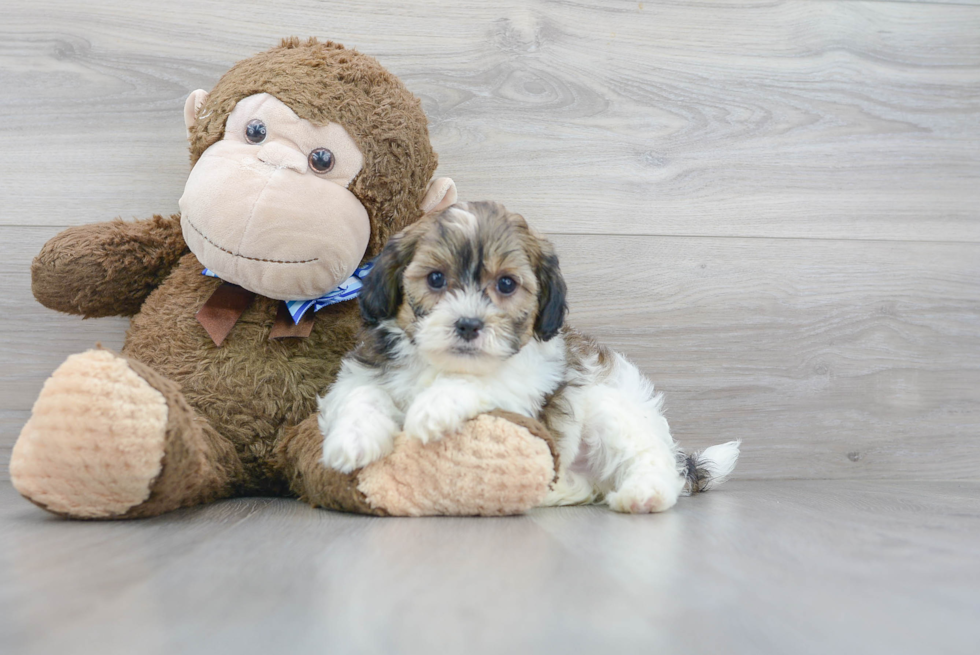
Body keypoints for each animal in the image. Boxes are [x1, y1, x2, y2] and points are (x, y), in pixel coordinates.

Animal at [318, 200, 740, 512]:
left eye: (506, 284)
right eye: (436, 278)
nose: (468, 324)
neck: (441, 365)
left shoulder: (525, 396)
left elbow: (488, 382)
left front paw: (436, 405)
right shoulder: (362, 371)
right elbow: (360, 393)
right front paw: (353, 439)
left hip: (615, 411)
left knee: (650, 461)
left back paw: (643, 495)